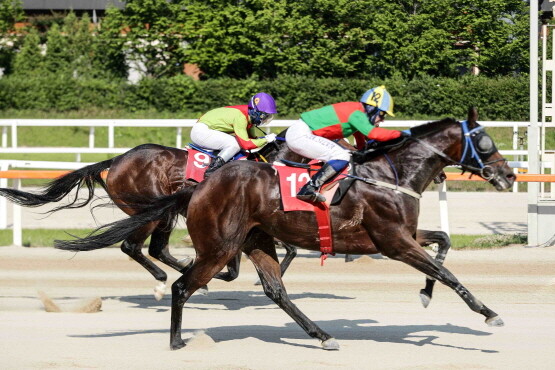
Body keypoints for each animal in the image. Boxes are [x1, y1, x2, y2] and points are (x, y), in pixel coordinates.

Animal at [53, 107, 516, 350]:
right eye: (486, 141)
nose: (509, 175)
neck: (391, 173)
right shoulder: (393, 241)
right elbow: (447, 272)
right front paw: (489, 313)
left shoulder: (402, 236)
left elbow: (444, 244)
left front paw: (424, 295)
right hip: (209, 237)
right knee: (172, 275)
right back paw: (177, 336)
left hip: (250, 237)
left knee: (274, 290)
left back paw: (322, 334)